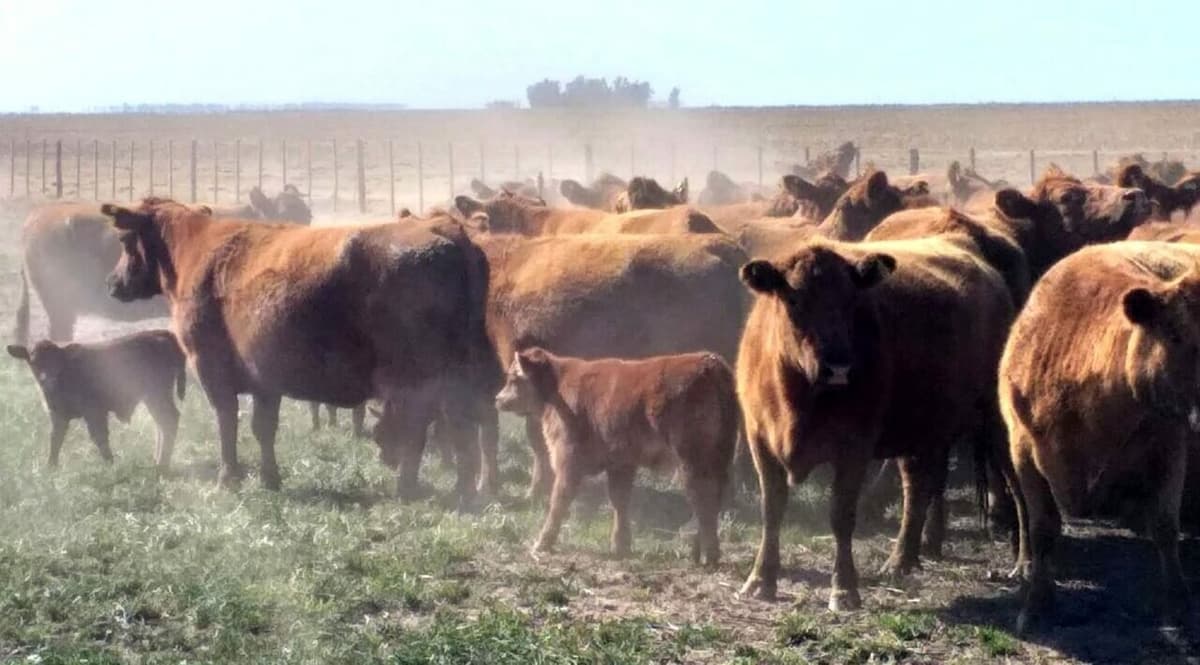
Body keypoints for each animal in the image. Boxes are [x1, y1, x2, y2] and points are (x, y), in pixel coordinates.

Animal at [7, 330, 186, 470]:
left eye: (58, 361)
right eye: (33, 361)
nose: (48, 380)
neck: (68, 369)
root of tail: (162, 334)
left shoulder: (94, 412)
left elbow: (99, 437)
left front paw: (110, 464)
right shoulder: (58, 415)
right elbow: (55, 439)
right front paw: (50, 467)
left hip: (157, 395)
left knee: (169, 420)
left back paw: (162, 465)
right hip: (153, 398)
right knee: (161, 424)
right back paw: (157, 461)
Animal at [100, 199, 490, 505]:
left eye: (124, 239)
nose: (112, 283)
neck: (197, 252)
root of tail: (446, 230)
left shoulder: (212, 371)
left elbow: (227, 422)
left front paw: (228, 477)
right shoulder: (265, 381)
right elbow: (263, 428)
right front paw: (270, 477)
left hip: (416, 378)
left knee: (422, 426)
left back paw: (409, 487)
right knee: (460, 427)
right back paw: (463, 490)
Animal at [494, 348, 737, 563]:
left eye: (514, 379)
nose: (497, 399)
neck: (558, 387)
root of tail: (709, 362)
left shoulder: (568, 461)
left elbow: (559, 502)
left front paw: (542, 543)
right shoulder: (620, 463)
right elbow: (619, 500)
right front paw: (620, 545)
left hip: (692, 461)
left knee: (703, 501)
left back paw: (709, 555)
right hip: (717, 459)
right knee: (710, 502)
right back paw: (699, 552)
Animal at [736, 237, 1015, 610]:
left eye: (851, 300)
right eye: (794, 299)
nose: (837, 366)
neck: (798, 396)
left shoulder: (854, 449)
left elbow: (841, 516)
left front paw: (844, 589)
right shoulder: (761, 442)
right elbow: (772, 511)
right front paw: (760, 580)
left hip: (999, 423)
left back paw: (1025, 564)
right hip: (923, 430)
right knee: (918, 487)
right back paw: (904, 558)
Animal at [1000, 241, 1200, 633]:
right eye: (1174, 335)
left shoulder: (1170, 445)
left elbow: (1165, 526)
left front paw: (1178, 602)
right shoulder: (1023, 450)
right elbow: (1042, 527)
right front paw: (1036, 604)